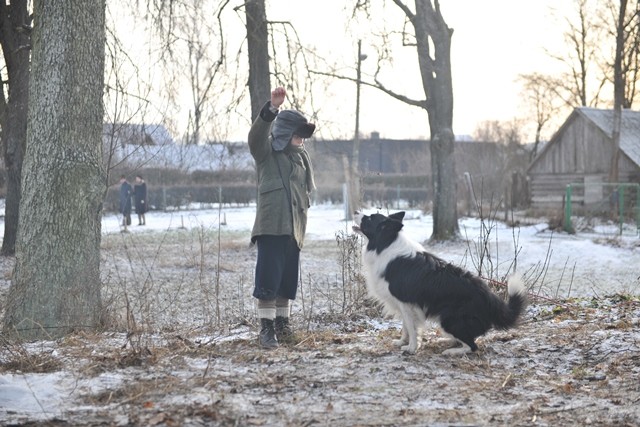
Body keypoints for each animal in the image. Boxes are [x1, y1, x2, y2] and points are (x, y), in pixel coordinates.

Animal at [352, 211, 528, 354]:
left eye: (369, 218)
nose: (355, 211)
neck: (385, 244)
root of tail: (489, 297)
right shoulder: (404, 306)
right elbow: (405, 327)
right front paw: (403, 342)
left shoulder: (406, 303)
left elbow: (411, 327)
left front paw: (412, 348)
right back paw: (445, 340)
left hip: (449, 320)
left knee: (472, 346)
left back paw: (451, 351)